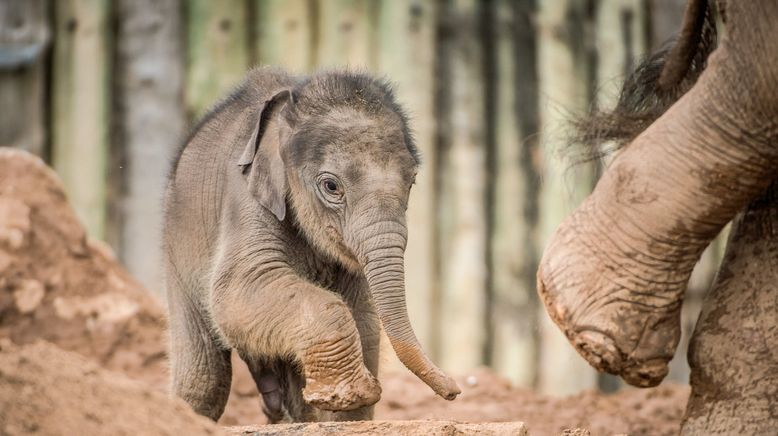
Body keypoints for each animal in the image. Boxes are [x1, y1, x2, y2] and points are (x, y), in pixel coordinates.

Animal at [162, 68, 454, 422]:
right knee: (205, 377)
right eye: (331, 186)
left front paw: (344, 408)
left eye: (411, 182)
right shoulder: (246, 197)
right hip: (177, 246)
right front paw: (354, 393)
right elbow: (235, 289)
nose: (454, 390)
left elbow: (366, 322)